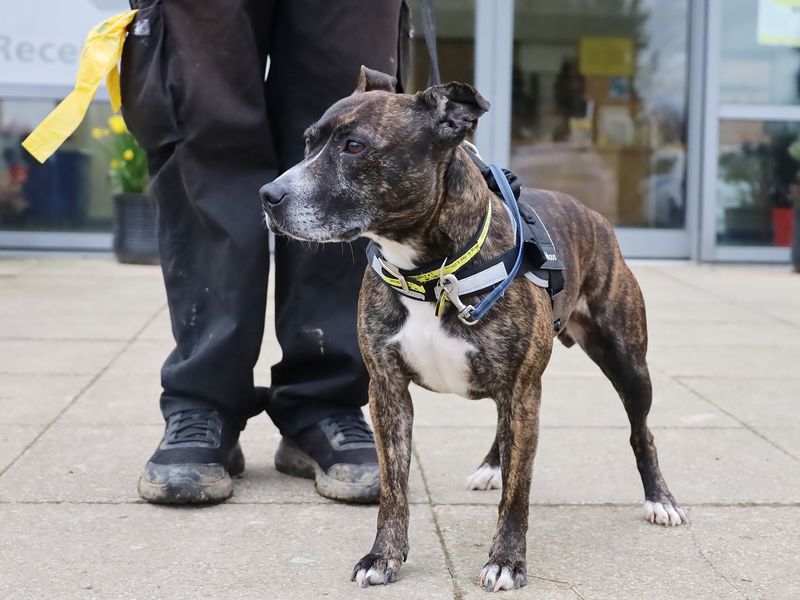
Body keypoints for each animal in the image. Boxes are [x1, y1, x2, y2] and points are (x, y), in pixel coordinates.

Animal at [260, 68, 684, 592]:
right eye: (308, 142)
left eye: (354, 146)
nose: (269, 196)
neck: (430, 271)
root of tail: (592, 212)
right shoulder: (388, 390)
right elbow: (394, 488)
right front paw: (384, 556)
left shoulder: (522, 388)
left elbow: (518, 495)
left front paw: (507, 561)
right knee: (505, 431)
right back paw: (490, 466)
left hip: (627, 364)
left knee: (641, 432)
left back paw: (660, 499)